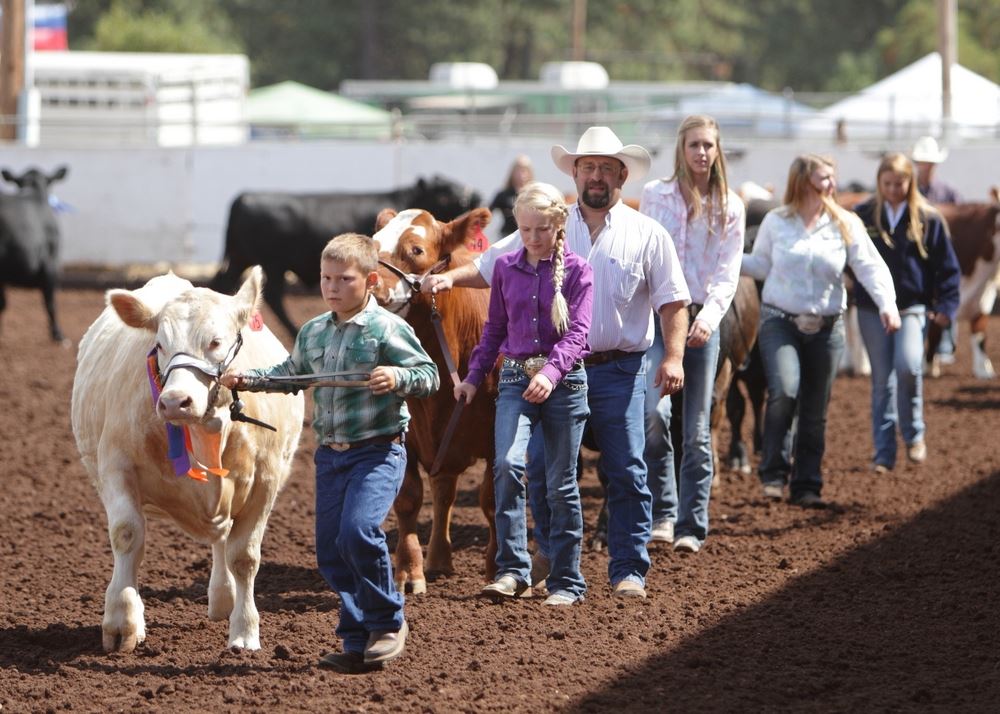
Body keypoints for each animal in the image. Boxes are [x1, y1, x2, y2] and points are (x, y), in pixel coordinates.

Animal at [71, 267, 304, 652]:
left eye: (216, 341)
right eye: (160, 345)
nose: (175, 401)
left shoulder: (265, 482)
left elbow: (244, 556)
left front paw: (245, 630)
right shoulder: (116, 465)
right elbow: (127, 535)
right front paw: (122, 621)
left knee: (224, 539)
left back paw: (224, 598)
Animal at [209, 176, 482, 339]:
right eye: (444, 191)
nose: (476, 195)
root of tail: (243, 197)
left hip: (241, 259)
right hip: (271, 263)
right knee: (274, 296)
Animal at [370, 206, 498, 593]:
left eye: (416, 250)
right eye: (373, 243)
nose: (369, 283)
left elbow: (491, 500)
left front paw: (497, 568)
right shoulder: (406, 434)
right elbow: (409, 498)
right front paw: (408, 571)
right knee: (443, 491)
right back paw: (439, 559)